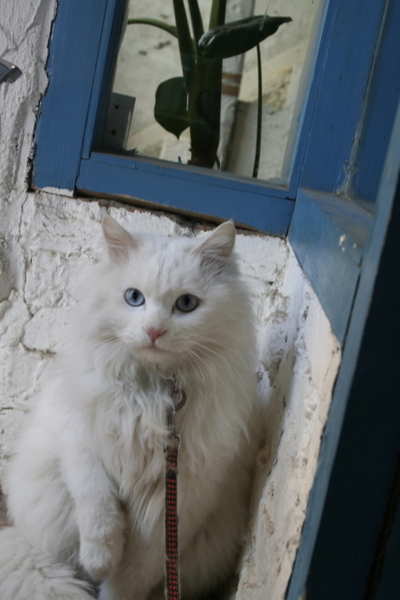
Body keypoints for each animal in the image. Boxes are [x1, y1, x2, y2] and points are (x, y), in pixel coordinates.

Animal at [0, 217, 260, 600]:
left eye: (186, 304)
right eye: (134, 298)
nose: (153, 331)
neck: (153, 394)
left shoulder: (178, 502)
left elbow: (136, 573)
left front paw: (109, 587)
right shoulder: (81, 442)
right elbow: (97, 509)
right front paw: (99, 560)